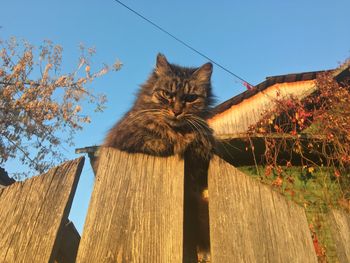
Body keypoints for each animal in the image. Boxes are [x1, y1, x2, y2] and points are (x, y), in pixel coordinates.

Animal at [103, 53, 213, 262]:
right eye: (167, 94)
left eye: (191, 98)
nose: (177, 111)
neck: (177, 130)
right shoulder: (125, 135)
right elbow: (153, 137)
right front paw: (171, 143)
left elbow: (200, 141)